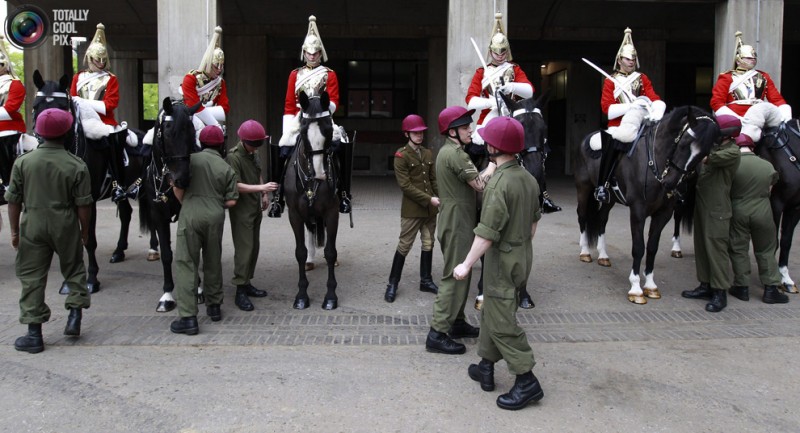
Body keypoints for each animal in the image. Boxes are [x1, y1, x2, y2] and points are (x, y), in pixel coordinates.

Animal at [30, 71, 145, 294]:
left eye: (62, 106)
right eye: (36, 105)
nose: (45, 135)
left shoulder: (88, 200)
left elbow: (89, 240)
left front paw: (92, 279)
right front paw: (69, 282)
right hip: (121, 189)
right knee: (126, 214)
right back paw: (119, 251)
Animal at [139, 97, 200, 310]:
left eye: (192, 131)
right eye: (167, 131)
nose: (183, 179)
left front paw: (199, 289)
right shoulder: (158, 214)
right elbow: (167, 254)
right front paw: (167, 295)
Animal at [284, 91, 340, 308]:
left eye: (328, 128)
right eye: (303, 129)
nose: (320, 175)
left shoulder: (332, 212)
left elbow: (330, 252)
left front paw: (331, 296)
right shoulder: (295, 214)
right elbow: (299, 251)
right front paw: (301, 295)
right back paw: (310, 259)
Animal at [576, 106, 720, 304]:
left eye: (704, 154)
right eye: (684, 143)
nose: (670, 183)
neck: (655, 160)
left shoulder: (664, 213)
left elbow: (652, 247)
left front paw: (650, 286)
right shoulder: (638, 211)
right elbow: (638, 247)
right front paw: (636, 288)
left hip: (609, 200)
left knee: (601, 220)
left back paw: (603, 255)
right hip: (584, 188)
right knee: (582, 217)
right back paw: (585, 252)